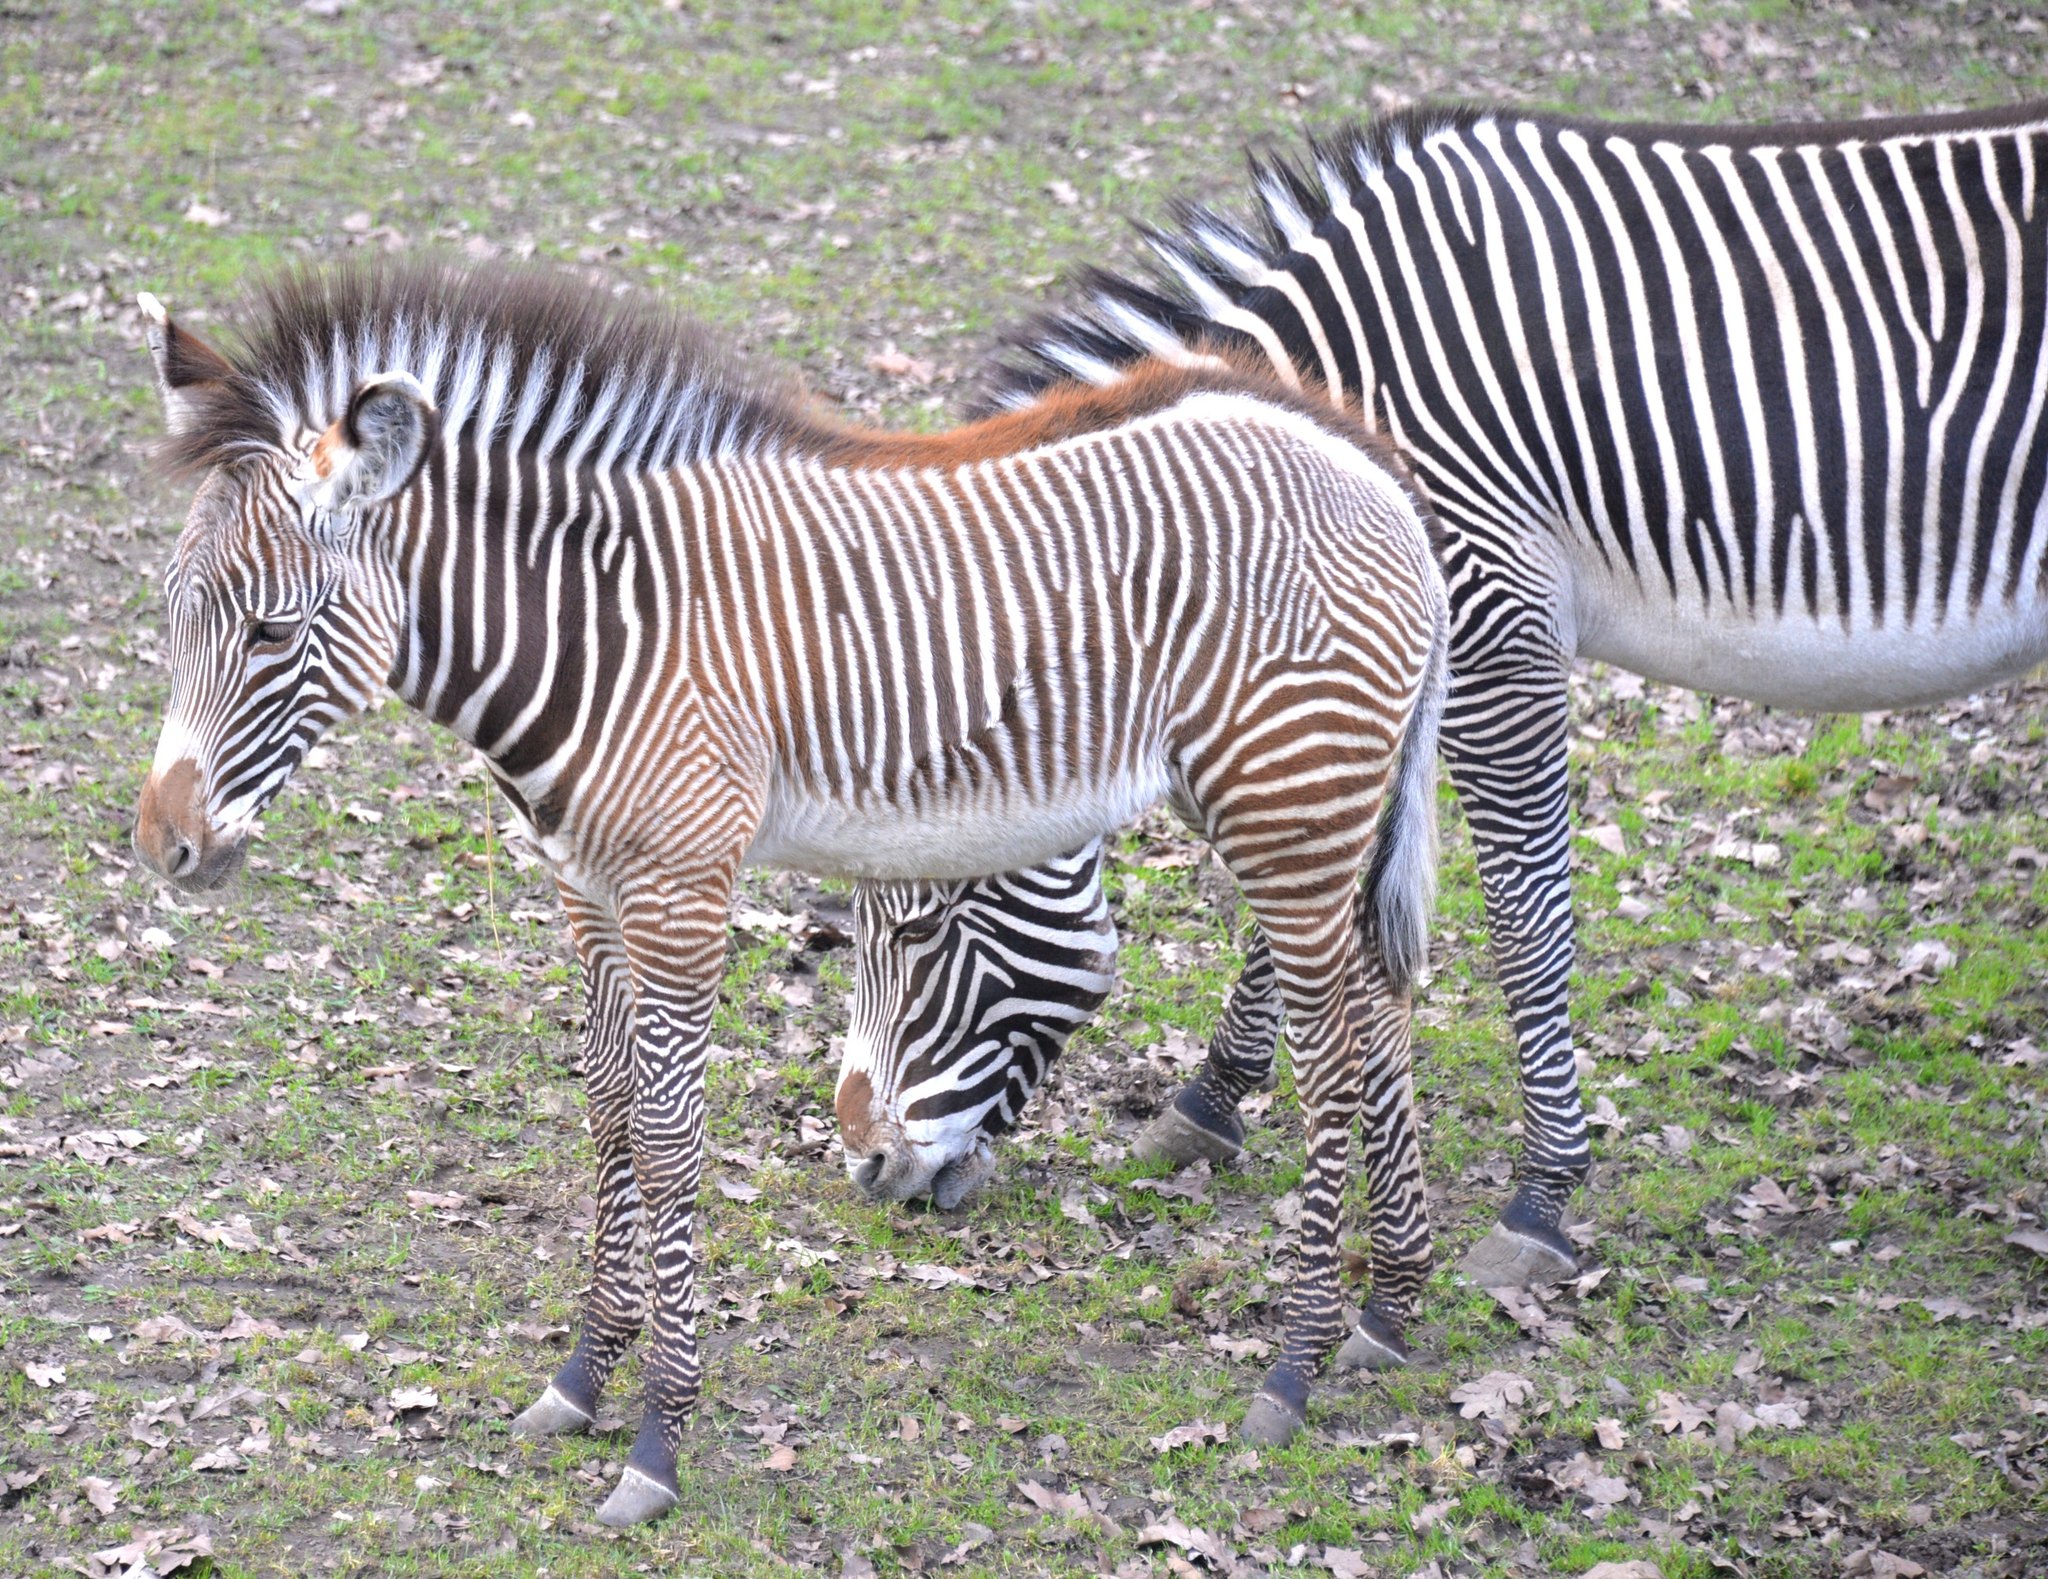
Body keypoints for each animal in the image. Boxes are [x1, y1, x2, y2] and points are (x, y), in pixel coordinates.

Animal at [128, 266, 1449, 1523]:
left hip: (1286, 798)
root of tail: (1367, 463)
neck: (606, 637)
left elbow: (668, 1142)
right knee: (1382, 1012)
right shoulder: (585, 889)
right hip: (1308, 807)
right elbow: (608, 1116)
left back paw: (1292, 1368)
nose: (162, 845)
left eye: (270, 630)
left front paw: (657, 1441)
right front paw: (580, 1377)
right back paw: (1387, 1308)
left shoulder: (679, 886)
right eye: (171, 615)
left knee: (1335, 1058)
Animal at [823, 98, 2048, 1294]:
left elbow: (1522, 914)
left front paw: (1540, 1198)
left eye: (921, 924)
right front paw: (1207, 1103)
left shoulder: (1488, 624)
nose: (869, 1167)